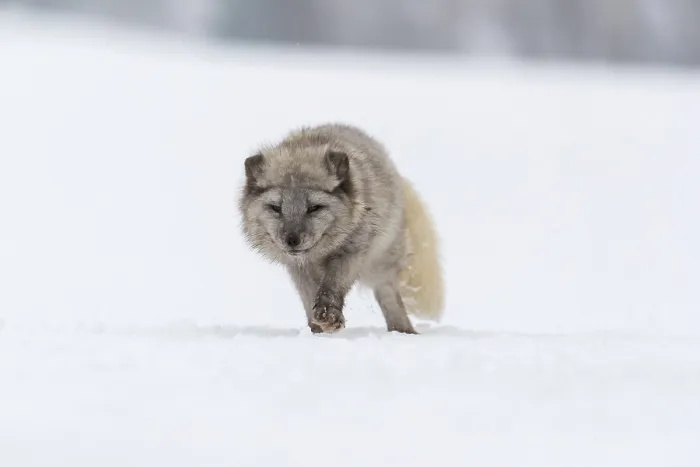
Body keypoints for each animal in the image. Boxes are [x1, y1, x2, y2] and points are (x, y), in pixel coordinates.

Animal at [238, 123, 444, 334]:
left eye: (314, 207)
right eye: (275, 208)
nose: (292, 240)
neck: (319, 255)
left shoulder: (352, 250)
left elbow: (332, 284)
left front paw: (328, 314)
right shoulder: (298, 267)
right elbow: (308, 295)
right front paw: (316, 329)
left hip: (380, 262)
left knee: (388, 291)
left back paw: (403, 331)